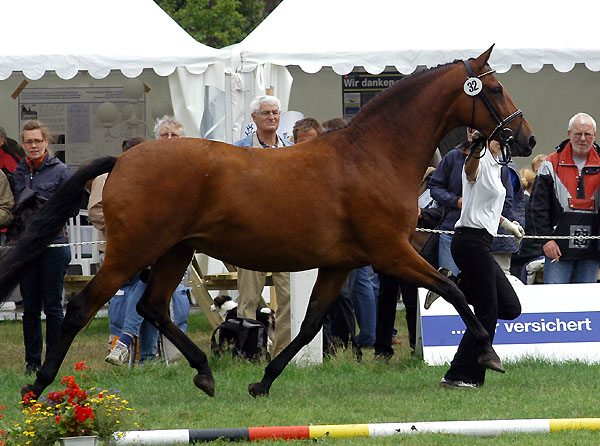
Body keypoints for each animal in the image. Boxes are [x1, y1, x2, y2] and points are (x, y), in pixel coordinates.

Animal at [0, 45, 536, 398]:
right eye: (493, 87)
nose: (527, 139)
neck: (373, 156)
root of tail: (125, 159)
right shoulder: (392, 253)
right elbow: (455, 289)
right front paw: (488, 355)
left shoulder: (340, 264)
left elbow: (310, 324)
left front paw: (263, 381)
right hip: (132, 251)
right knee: (80, 308)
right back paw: (38, 387)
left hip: (175, 251)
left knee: (152, 307)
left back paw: (205, 373)